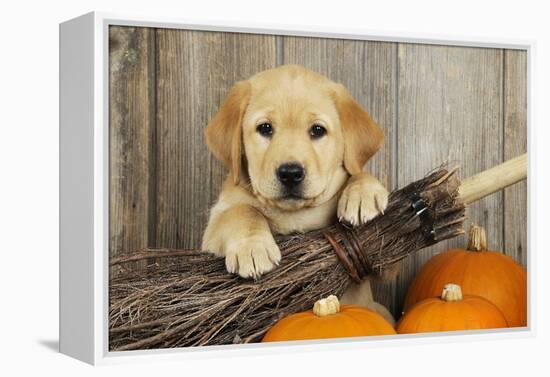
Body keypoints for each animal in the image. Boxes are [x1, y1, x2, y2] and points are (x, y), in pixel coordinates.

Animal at [205, 64, 394, 320]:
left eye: (317, 130)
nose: (290, 173)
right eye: (265, 128)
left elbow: (356, 172)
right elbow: (242, 212)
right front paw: (252, 247)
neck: (296, 214)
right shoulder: (211, 232)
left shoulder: (383, 262)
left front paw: (363, 192)